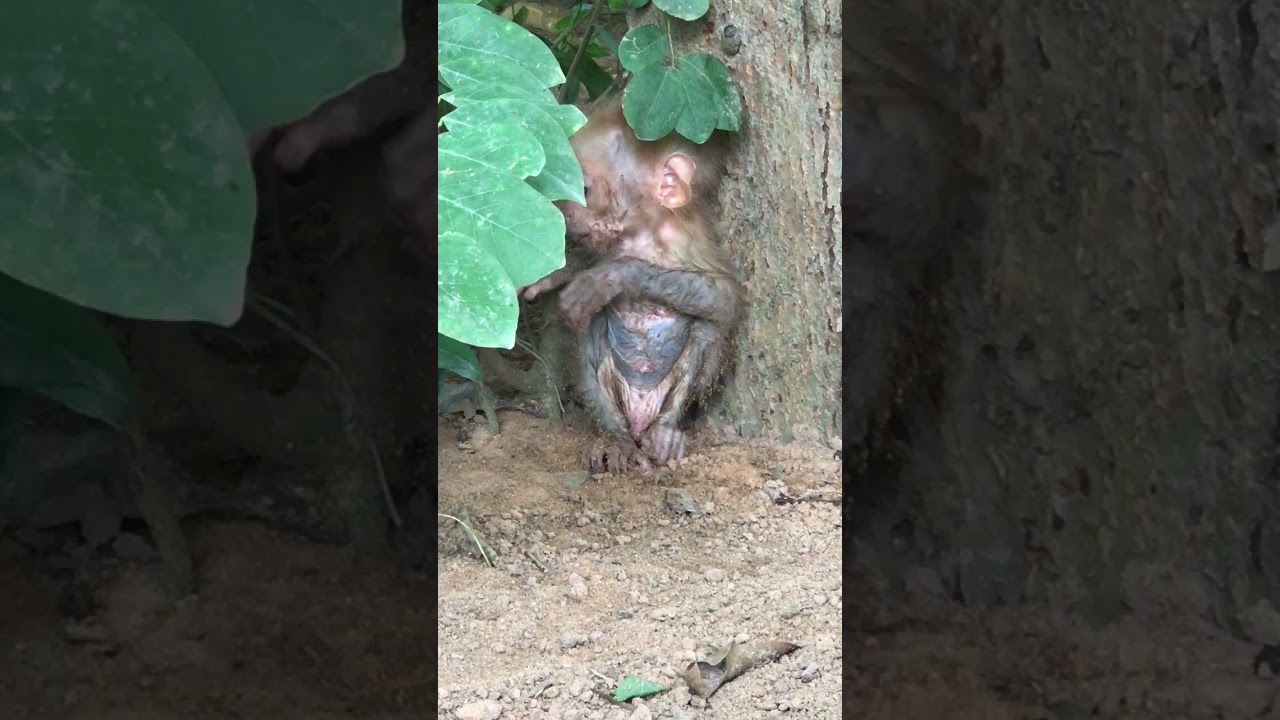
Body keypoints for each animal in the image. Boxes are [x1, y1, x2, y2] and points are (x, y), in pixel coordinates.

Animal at [522, 98, 743, 474]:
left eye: (584, 189)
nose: (566, 215)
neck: (646, 232)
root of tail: (640, 414)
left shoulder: (688, 240)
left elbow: (725, 299)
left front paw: (614, 277)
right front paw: (554, 273)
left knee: (705, 330)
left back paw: (665, 431)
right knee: (593, 325)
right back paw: (615, 436)